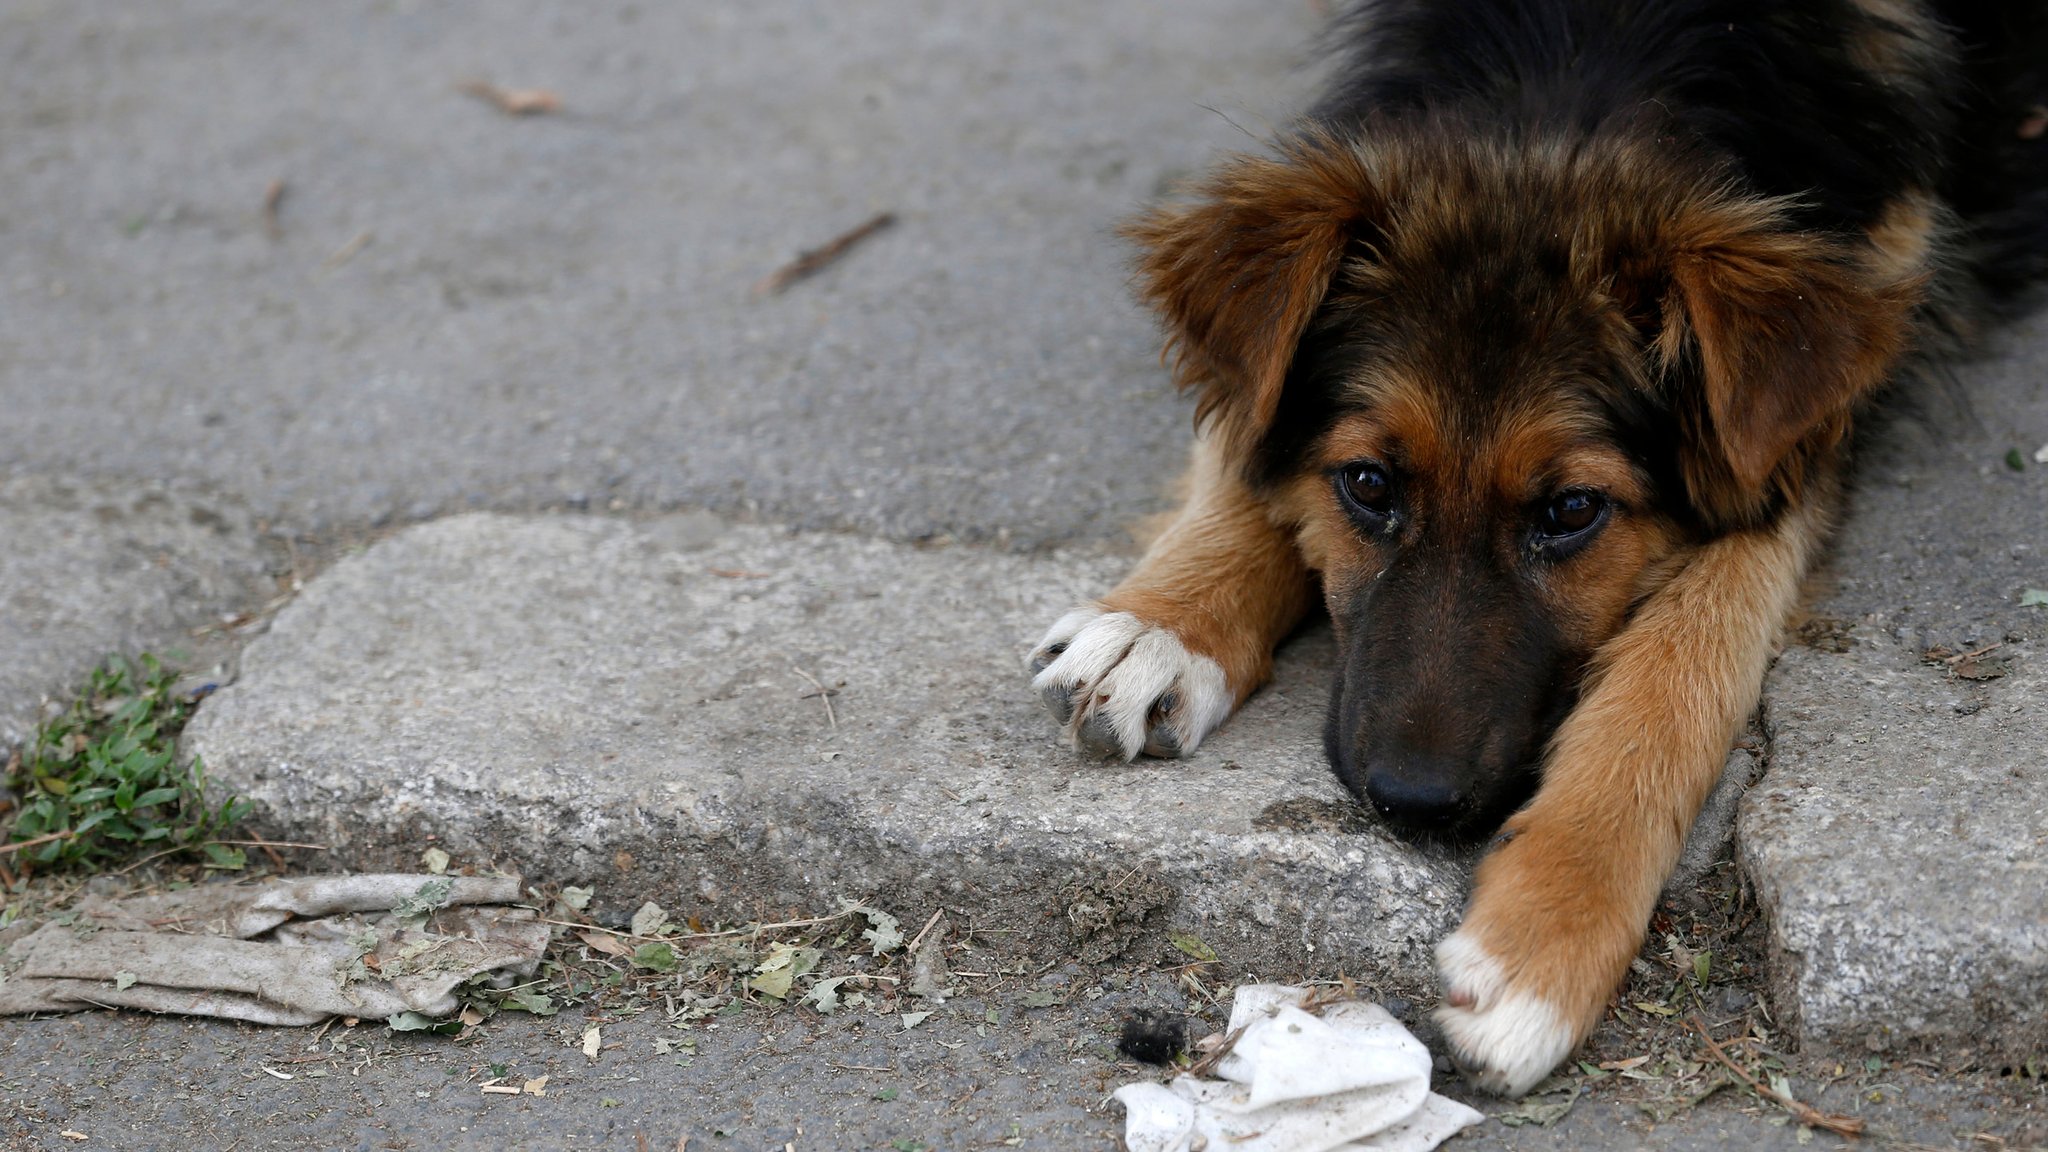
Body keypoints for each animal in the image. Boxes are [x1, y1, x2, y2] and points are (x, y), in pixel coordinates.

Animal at [1032, 0, 2048, 1090]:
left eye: (1569, 511)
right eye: (1367, 483)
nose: (1412, 804)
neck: (1589, 58)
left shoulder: (1815, 405)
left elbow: (1680, 666)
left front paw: (1547, 933)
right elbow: (1243, 444)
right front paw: (1159, 627)